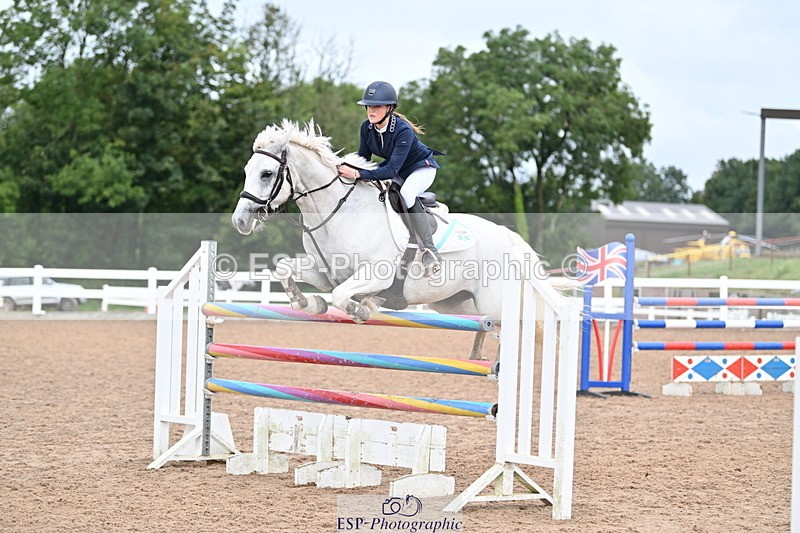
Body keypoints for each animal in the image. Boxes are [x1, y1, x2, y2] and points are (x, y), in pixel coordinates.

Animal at [231, 120, 553, 356]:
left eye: (266, 173)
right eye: (246, 170)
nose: (240, 220)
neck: (338, 211)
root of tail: (508, 238)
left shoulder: (377, 274)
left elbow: (342, 296)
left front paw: (363, 308)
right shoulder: (325, 273)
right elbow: (287, 270)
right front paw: (309, 303)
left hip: (495, 302)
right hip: (457, 303)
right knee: (485, 326)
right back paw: (477, 356)